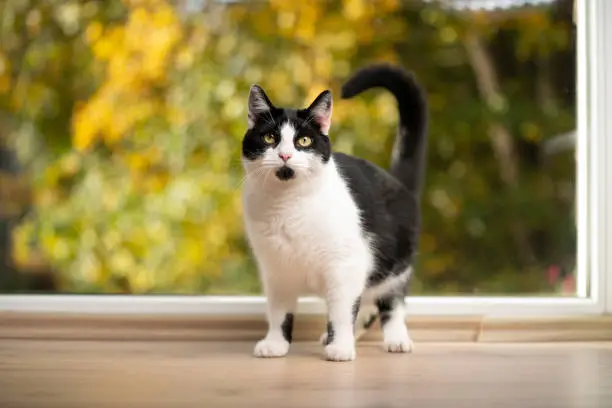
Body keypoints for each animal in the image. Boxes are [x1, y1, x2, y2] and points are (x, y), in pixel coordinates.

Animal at [241, 62, 428, 362]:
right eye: (269, 137)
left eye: (304, 141)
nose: (284, 155)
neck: (287, 206)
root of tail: (396, 181)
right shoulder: (276, 270)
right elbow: (279, 311)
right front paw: (275, 344)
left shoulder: (345, 265)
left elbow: (341, 311)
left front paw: (340, 347)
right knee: (367, 303)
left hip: (395, 265)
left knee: (392, 302)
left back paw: (396, 339)